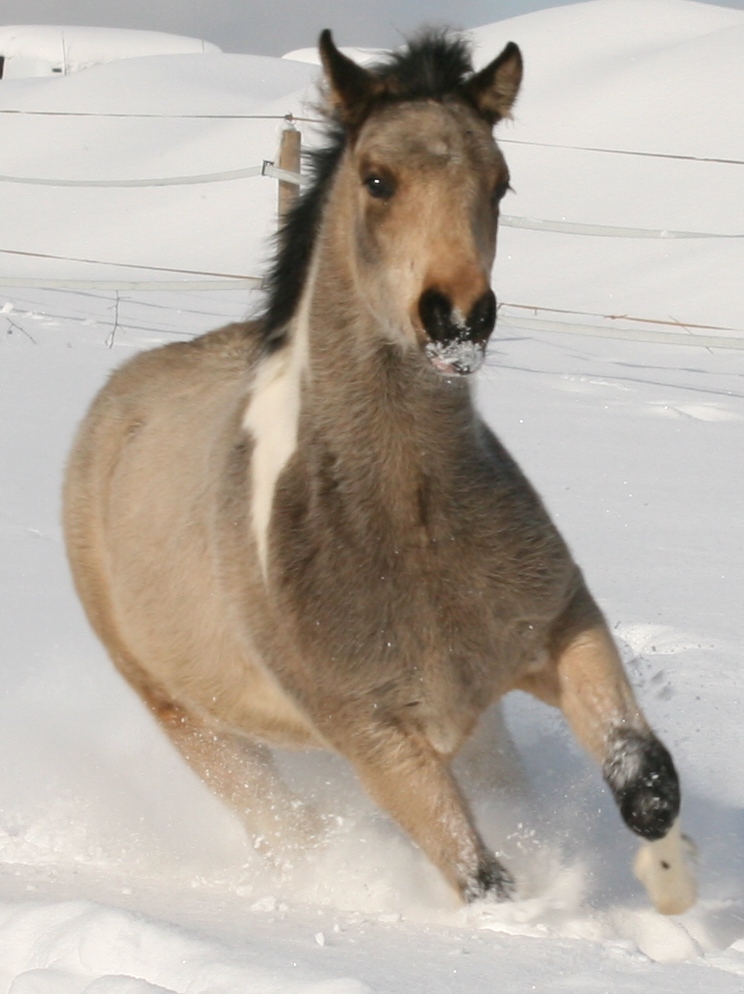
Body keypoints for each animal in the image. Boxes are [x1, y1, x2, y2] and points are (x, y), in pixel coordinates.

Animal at [64, 29, 696, 916]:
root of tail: (111, 404)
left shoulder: (564, 629)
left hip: (478, 727)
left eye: (500, 182)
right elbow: (483, 879)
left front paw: (672, 886)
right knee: (288, 830)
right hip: (191, 721)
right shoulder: (374, 738)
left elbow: (646, 781)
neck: (408, 523)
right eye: (376, 180)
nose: (458, 318)